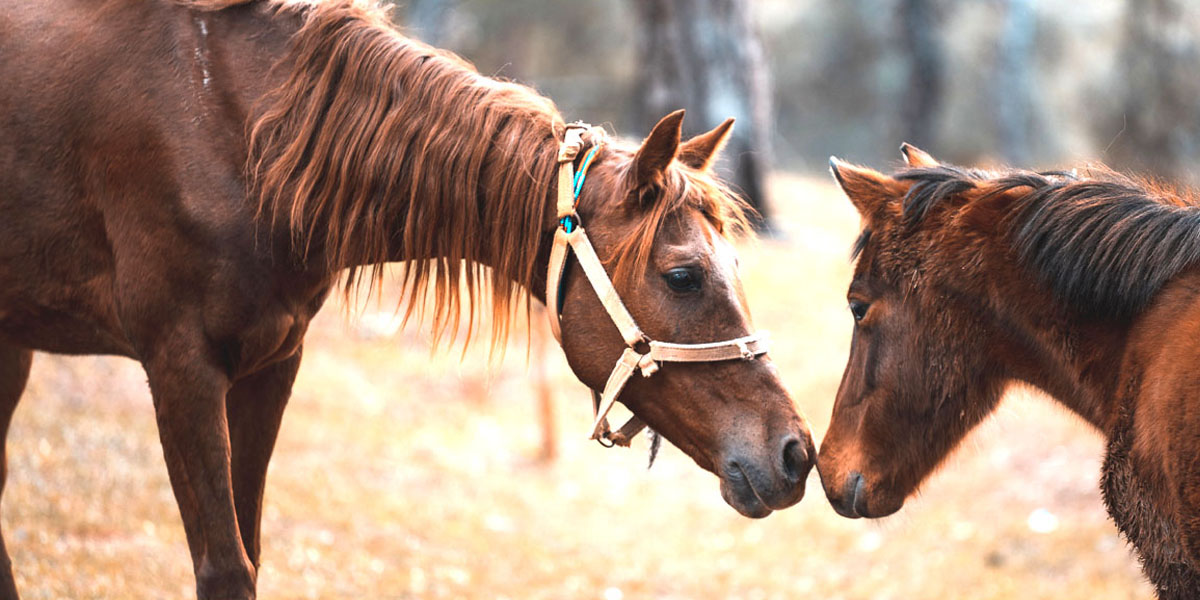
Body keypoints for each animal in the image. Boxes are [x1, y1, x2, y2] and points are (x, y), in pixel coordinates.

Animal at [0, 1, 816, 597]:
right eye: (684, 276)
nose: (796, 453)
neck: (238, 131)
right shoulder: (181, 370)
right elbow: (226, 568)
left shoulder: (270, 365)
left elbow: (252, 551)